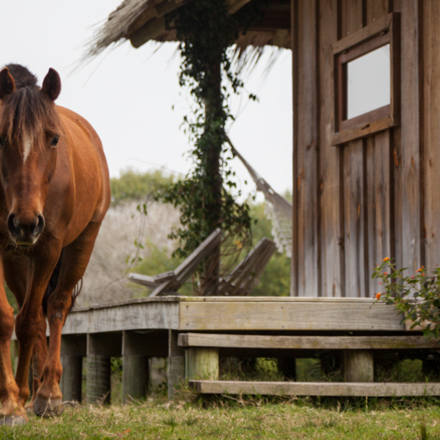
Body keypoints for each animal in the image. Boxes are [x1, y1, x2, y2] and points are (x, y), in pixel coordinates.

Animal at [0, 63, 111, 424]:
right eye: (0, 137)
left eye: (53, 139)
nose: (25, 222)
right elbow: (10, 320)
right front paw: (10, 400)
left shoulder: (48, 247)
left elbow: (30, 322)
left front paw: (20, 402)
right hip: (18, 259)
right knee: (33, 312)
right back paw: (31, 391)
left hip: (80, 245)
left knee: (56, 308)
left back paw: (48, 394)